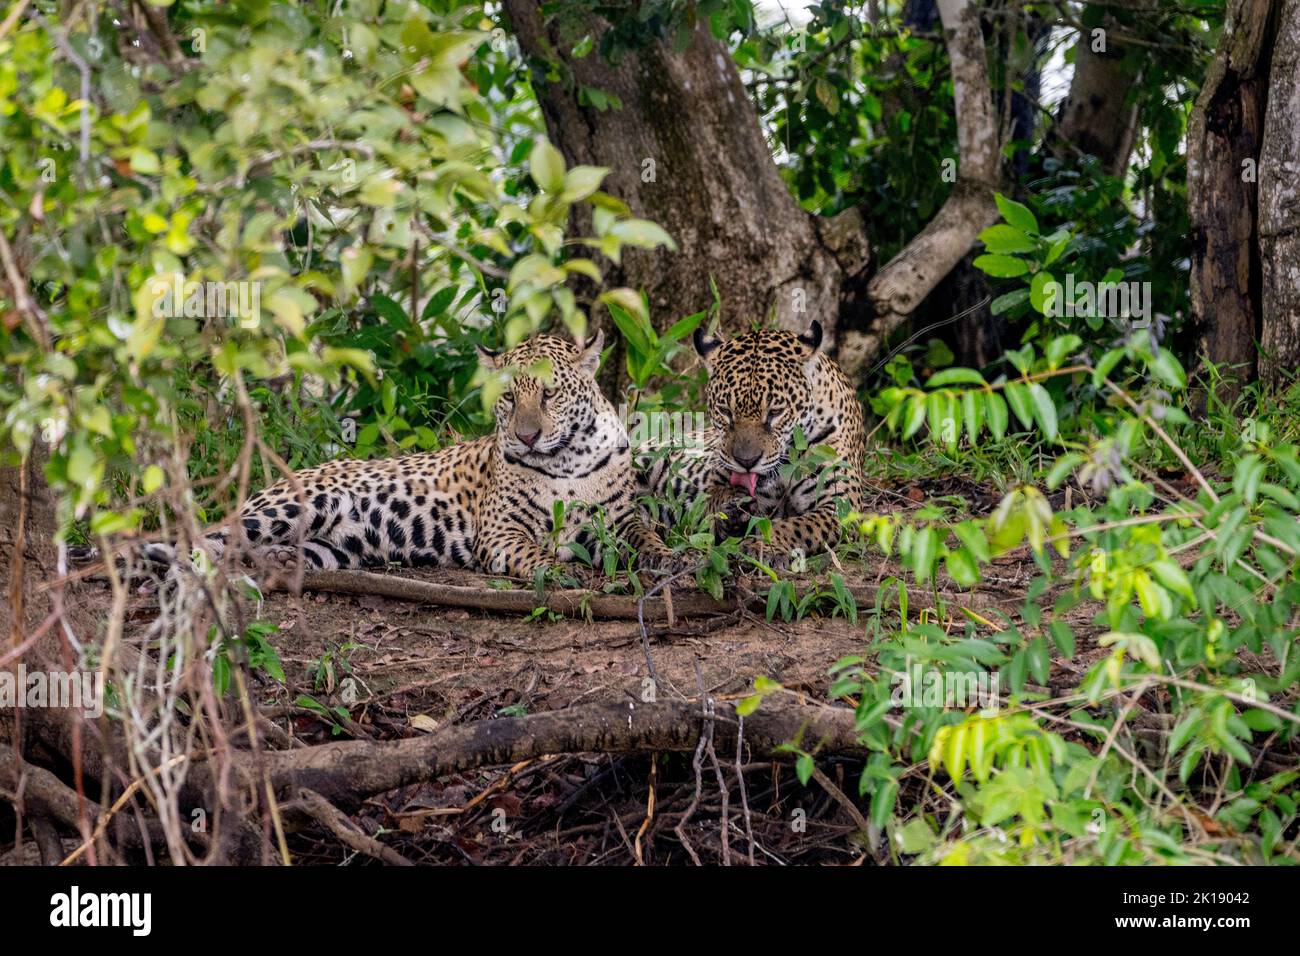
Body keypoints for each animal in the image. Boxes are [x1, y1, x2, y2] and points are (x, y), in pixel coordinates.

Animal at [149, 331, 678, 579]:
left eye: (550, 393)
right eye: (508, 398)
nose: (527, 437)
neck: (567, 460)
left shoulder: (619, 518)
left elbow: (646, 536)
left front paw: (671, 559)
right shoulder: (501, 531)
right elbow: (532, 551)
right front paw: (559, 569)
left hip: (335, 549)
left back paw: (273, 560)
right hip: (292, 505)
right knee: (204, 538)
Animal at [638, 320, 865, 568]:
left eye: (775, 412)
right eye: (725, 411)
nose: (747, 462)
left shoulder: (842, 506)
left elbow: (798, 526)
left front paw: (762, 546)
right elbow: (711, 497)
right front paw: (731, 511)